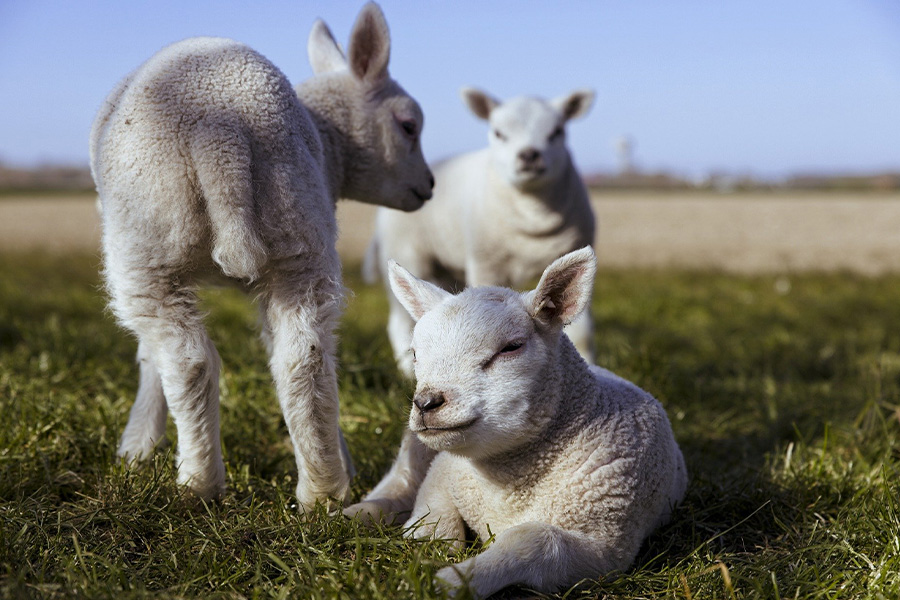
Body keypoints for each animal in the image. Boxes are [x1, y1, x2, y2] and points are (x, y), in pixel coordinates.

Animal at [89, 2, 434, 509]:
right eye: (408, 126)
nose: (429, 186)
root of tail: (221, 131)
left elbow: (149, 358)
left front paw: (136, 446)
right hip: (298, 233)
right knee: (303, 360)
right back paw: (323, 489)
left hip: (146, 246)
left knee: (187, 361)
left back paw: (199, 484)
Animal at [365, 87, 597, 378]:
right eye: (498, 133)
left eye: (557, 131)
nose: (529, 155)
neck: (533, 215)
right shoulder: (485, 263)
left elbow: (583, 332)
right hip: (406, 250)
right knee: (399, 321)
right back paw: (407, 370)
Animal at [380, 247, 687, 598]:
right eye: (415, 354)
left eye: (511, 347)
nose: (426, 403)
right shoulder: (442, 473)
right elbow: (432, 520)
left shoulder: (608, 547)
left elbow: (533, 539)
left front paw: (450, 581)